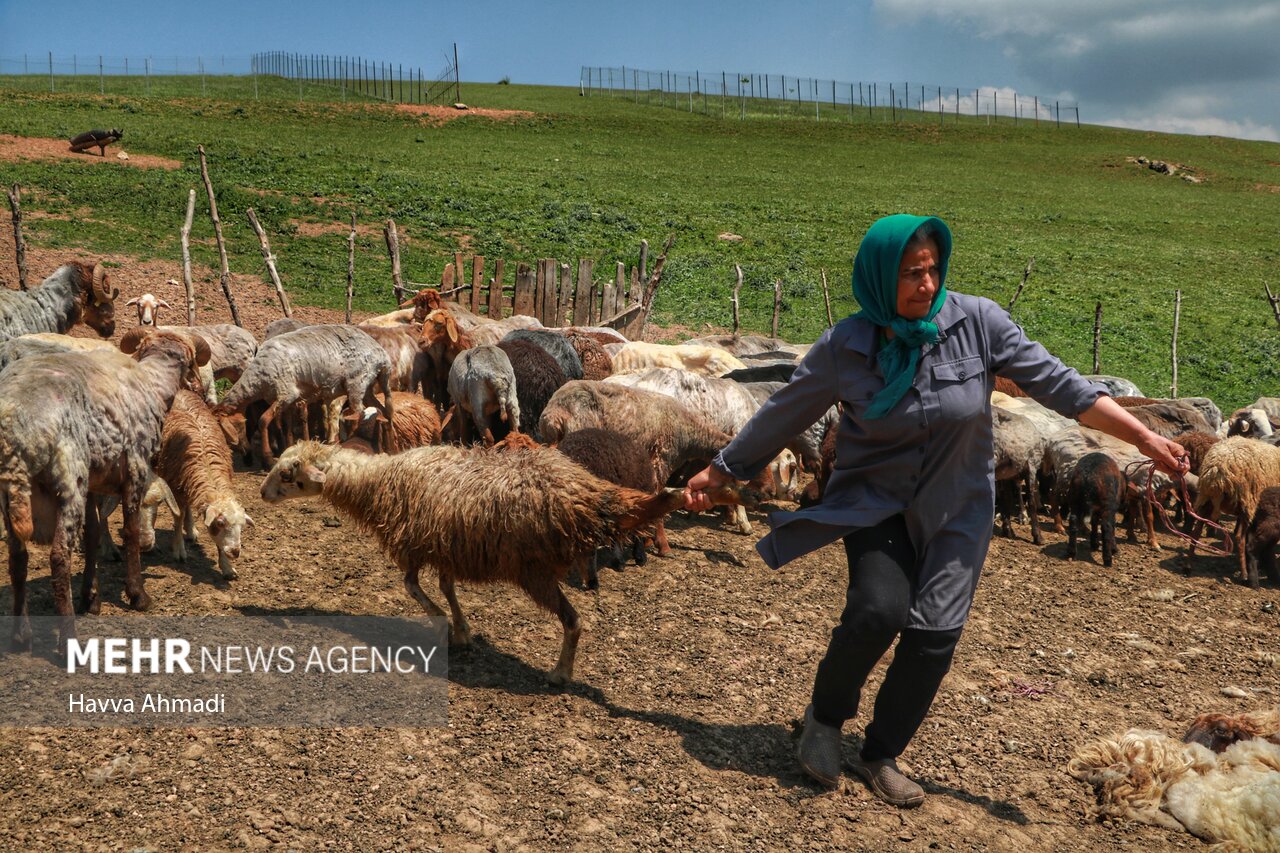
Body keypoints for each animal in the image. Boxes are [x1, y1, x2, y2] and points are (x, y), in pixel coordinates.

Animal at [0, 326, 208, 645]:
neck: (152, 382)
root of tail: (17, 430)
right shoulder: (135, 467)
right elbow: (131, 531)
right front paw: (137, 595)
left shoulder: (95, 481)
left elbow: (94, 533)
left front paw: (91, 597)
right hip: (69, 475)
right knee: (59, 556)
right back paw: (68, 640)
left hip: (10, 492)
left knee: (17, 557)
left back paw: (21, 633)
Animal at [216, 322, 394, 466]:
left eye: (226, 431)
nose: (245, 454)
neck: (257, 380)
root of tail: (383, 357)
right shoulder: (288, 401)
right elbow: (286, 426)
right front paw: (287, 449)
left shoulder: (286, 394)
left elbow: (263, 420)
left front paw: (268, 459)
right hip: (370, 385)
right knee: (384, 412)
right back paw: (389, 448)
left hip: (357, 382)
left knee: (360, 413)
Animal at [1187, 438, 1280, 584]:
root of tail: (1217, 468)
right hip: (1246, 502)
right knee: (1239, 538)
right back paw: (1244, 575)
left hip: (1206, 499)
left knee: (1196, 532)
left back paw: (1188, 567)